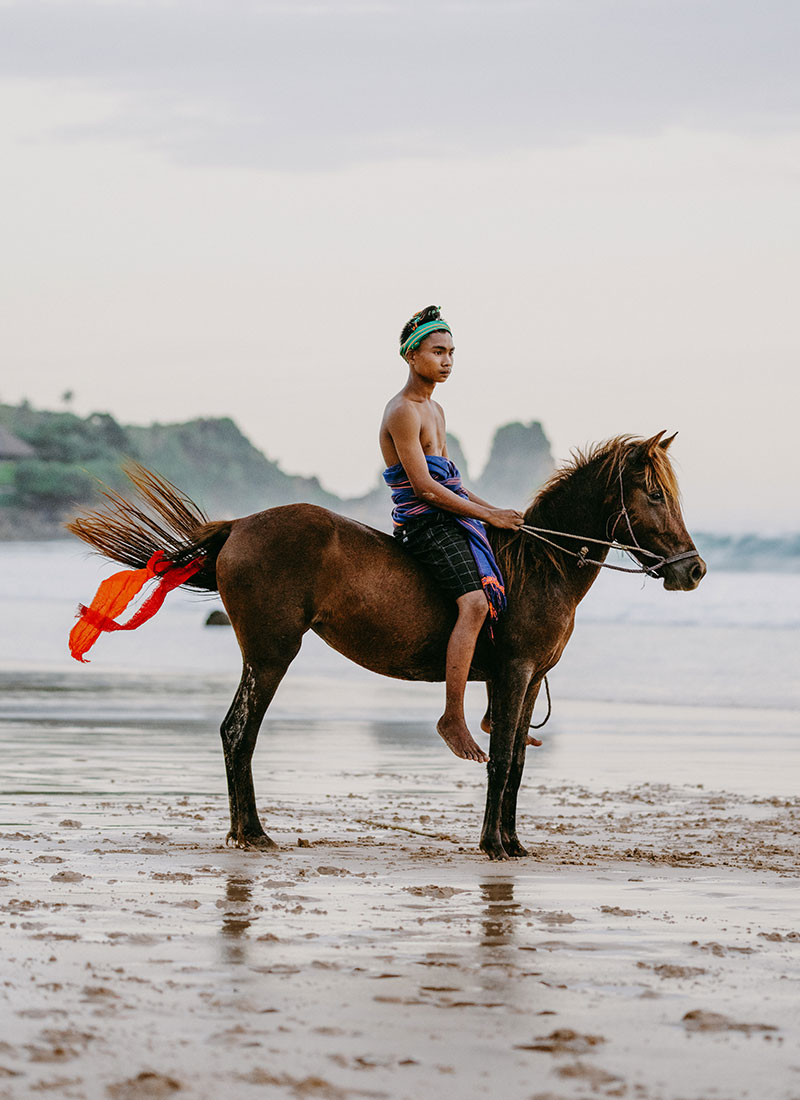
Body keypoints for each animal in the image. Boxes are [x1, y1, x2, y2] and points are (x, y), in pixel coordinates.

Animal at [67, 430, 706, 861]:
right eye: (653, 493)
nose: (693, 570)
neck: (540, 566)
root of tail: (240, 526)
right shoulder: (515, 672)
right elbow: (501, 761)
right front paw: (492, 845)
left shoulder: (529, 681)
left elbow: (520, 764)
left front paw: (514, 842)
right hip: (272, 653)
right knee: (237, 732)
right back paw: (251, 832)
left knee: (235, 733)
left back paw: (246, 831)